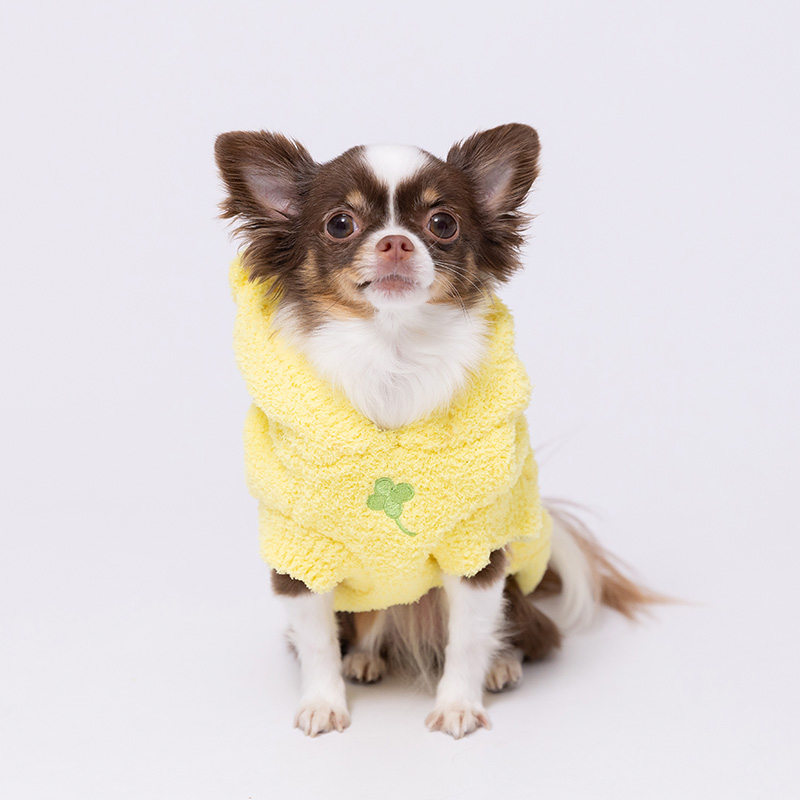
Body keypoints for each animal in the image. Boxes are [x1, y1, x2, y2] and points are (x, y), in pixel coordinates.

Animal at [215, 124, 653, 738]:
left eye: (442, 223)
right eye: (339, 224)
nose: (396, 242)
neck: (392, 356)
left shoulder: (478, 551)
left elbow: (467, 639)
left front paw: (459, 704)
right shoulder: (300, 553)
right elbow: (316, 640)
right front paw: (323, 702)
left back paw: (502, 665)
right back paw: (364, 659)